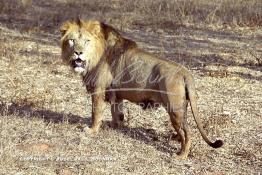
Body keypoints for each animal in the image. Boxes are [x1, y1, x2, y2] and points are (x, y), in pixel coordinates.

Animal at [59, 18, 223, 159]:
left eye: (87, 41)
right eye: (72, 40)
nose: (78, 53)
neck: (95, 55)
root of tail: (185, 72)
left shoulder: (98, 90)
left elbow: (96, 113)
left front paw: (91, 130)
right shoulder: (116, 93)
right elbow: (116, 113)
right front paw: (114, 126)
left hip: (174, 108)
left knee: (188, 133)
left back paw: (181, 155)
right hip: (181, 108)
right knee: (184, 127)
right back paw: (175, 137)